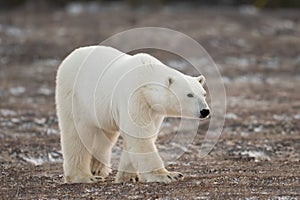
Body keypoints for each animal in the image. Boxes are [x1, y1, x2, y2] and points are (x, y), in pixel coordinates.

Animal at [55, 45, 211, 183]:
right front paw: (169, 175)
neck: (146, 75)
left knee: (105, 135)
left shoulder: (153, 110)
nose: (205, 111)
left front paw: (127, 177)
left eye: (203, 94)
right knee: (76, 135)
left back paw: (97, 168)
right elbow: (140, 134)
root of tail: (70, 57)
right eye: (189, 94)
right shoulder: (135, 96)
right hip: (75, 96)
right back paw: (84, 177)